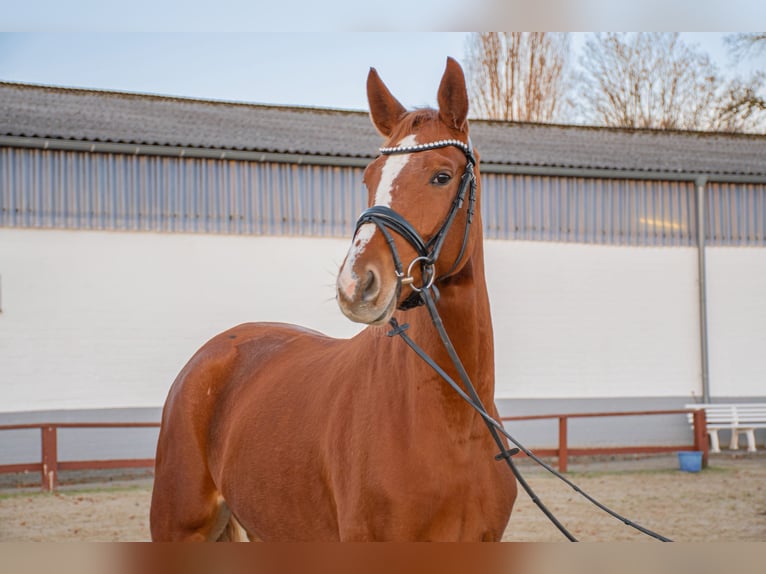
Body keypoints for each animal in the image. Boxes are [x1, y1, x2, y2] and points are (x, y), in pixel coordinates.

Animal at [149, 57, 517, 542]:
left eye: (441, 176)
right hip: (178, 526)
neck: (455, 421)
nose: (356, 283)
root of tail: (210, 354)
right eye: (368, 178)